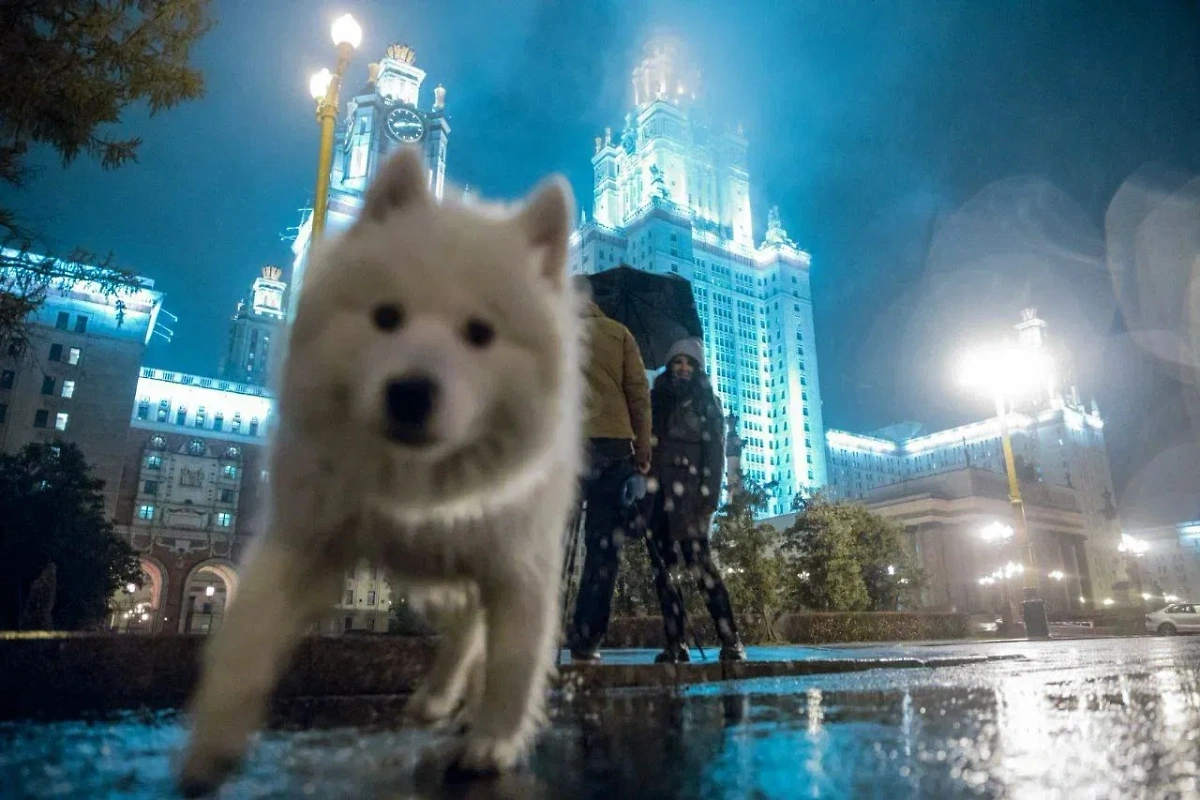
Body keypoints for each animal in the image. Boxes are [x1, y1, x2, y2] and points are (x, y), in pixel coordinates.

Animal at [178, 148, 585, 796]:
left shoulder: (518, 567)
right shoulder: (303, 542)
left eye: (480, 333)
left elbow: (515, 664)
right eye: (387, 317)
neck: (418, 489)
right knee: (464, 631)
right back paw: (438, 699)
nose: (410, 393)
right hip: (431, 584)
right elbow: (247, 637)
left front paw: (494, 742)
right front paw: (211, 745)